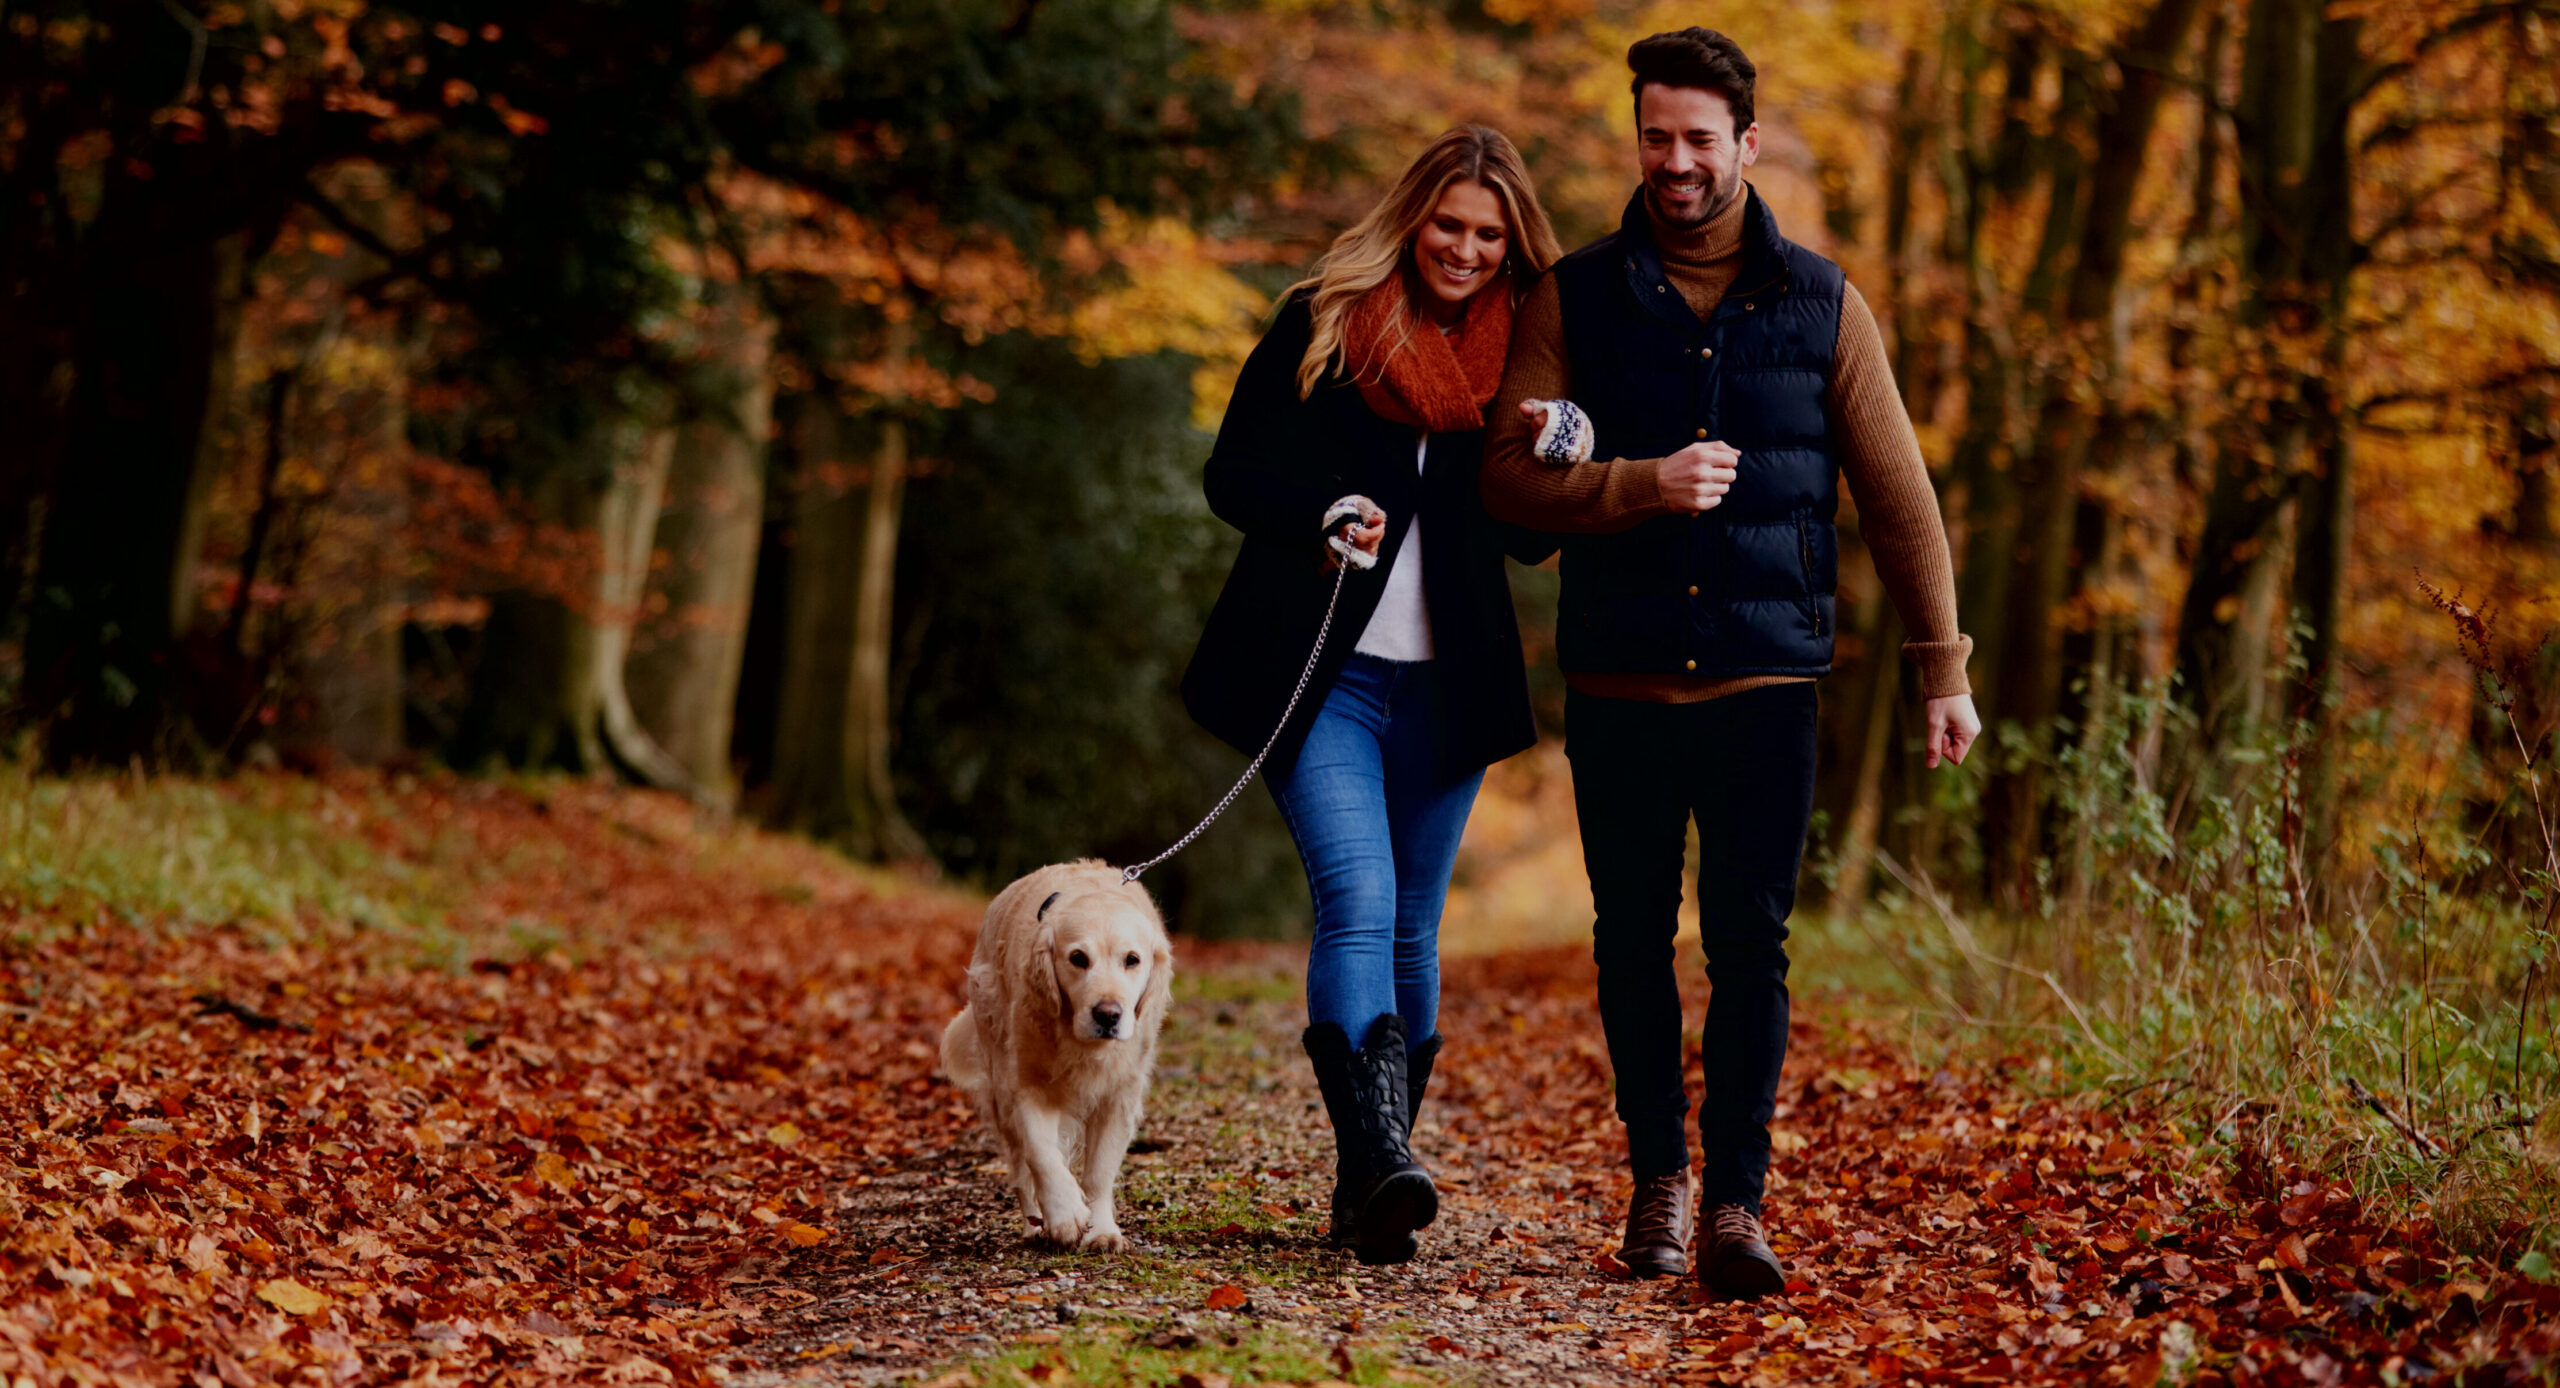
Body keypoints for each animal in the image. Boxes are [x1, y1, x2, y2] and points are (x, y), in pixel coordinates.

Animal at [947, 860, 1172, 1249]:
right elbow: (1042, 1154)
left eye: (1132, 960)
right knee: (1021, 1168)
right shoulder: (1024, 1084)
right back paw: (1035, 1224)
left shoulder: (1119, 1095)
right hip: (997, 1082)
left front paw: (1101, 1230)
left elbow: (1098, 1172)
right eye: (1078, 958)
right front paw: (1065, 1215)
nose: (1108, 1015)